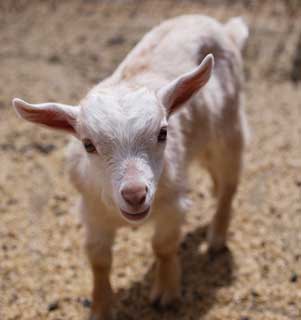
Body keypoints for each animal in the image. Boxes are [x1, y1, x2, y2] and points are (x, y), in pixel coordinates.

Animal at [12, 14, 248, 320]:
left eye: (163, 133)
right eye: (88, 144)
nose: (135, 194)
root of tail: (223, 28)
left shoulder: (172, 205)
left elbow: (163, 247)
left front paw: (166, 293)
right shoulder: (92, 212)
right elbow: (99, 259)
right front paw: (101, 307)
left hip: (230, 128)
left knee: (230, 184)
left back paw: (216, 238)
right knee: (217, 176)